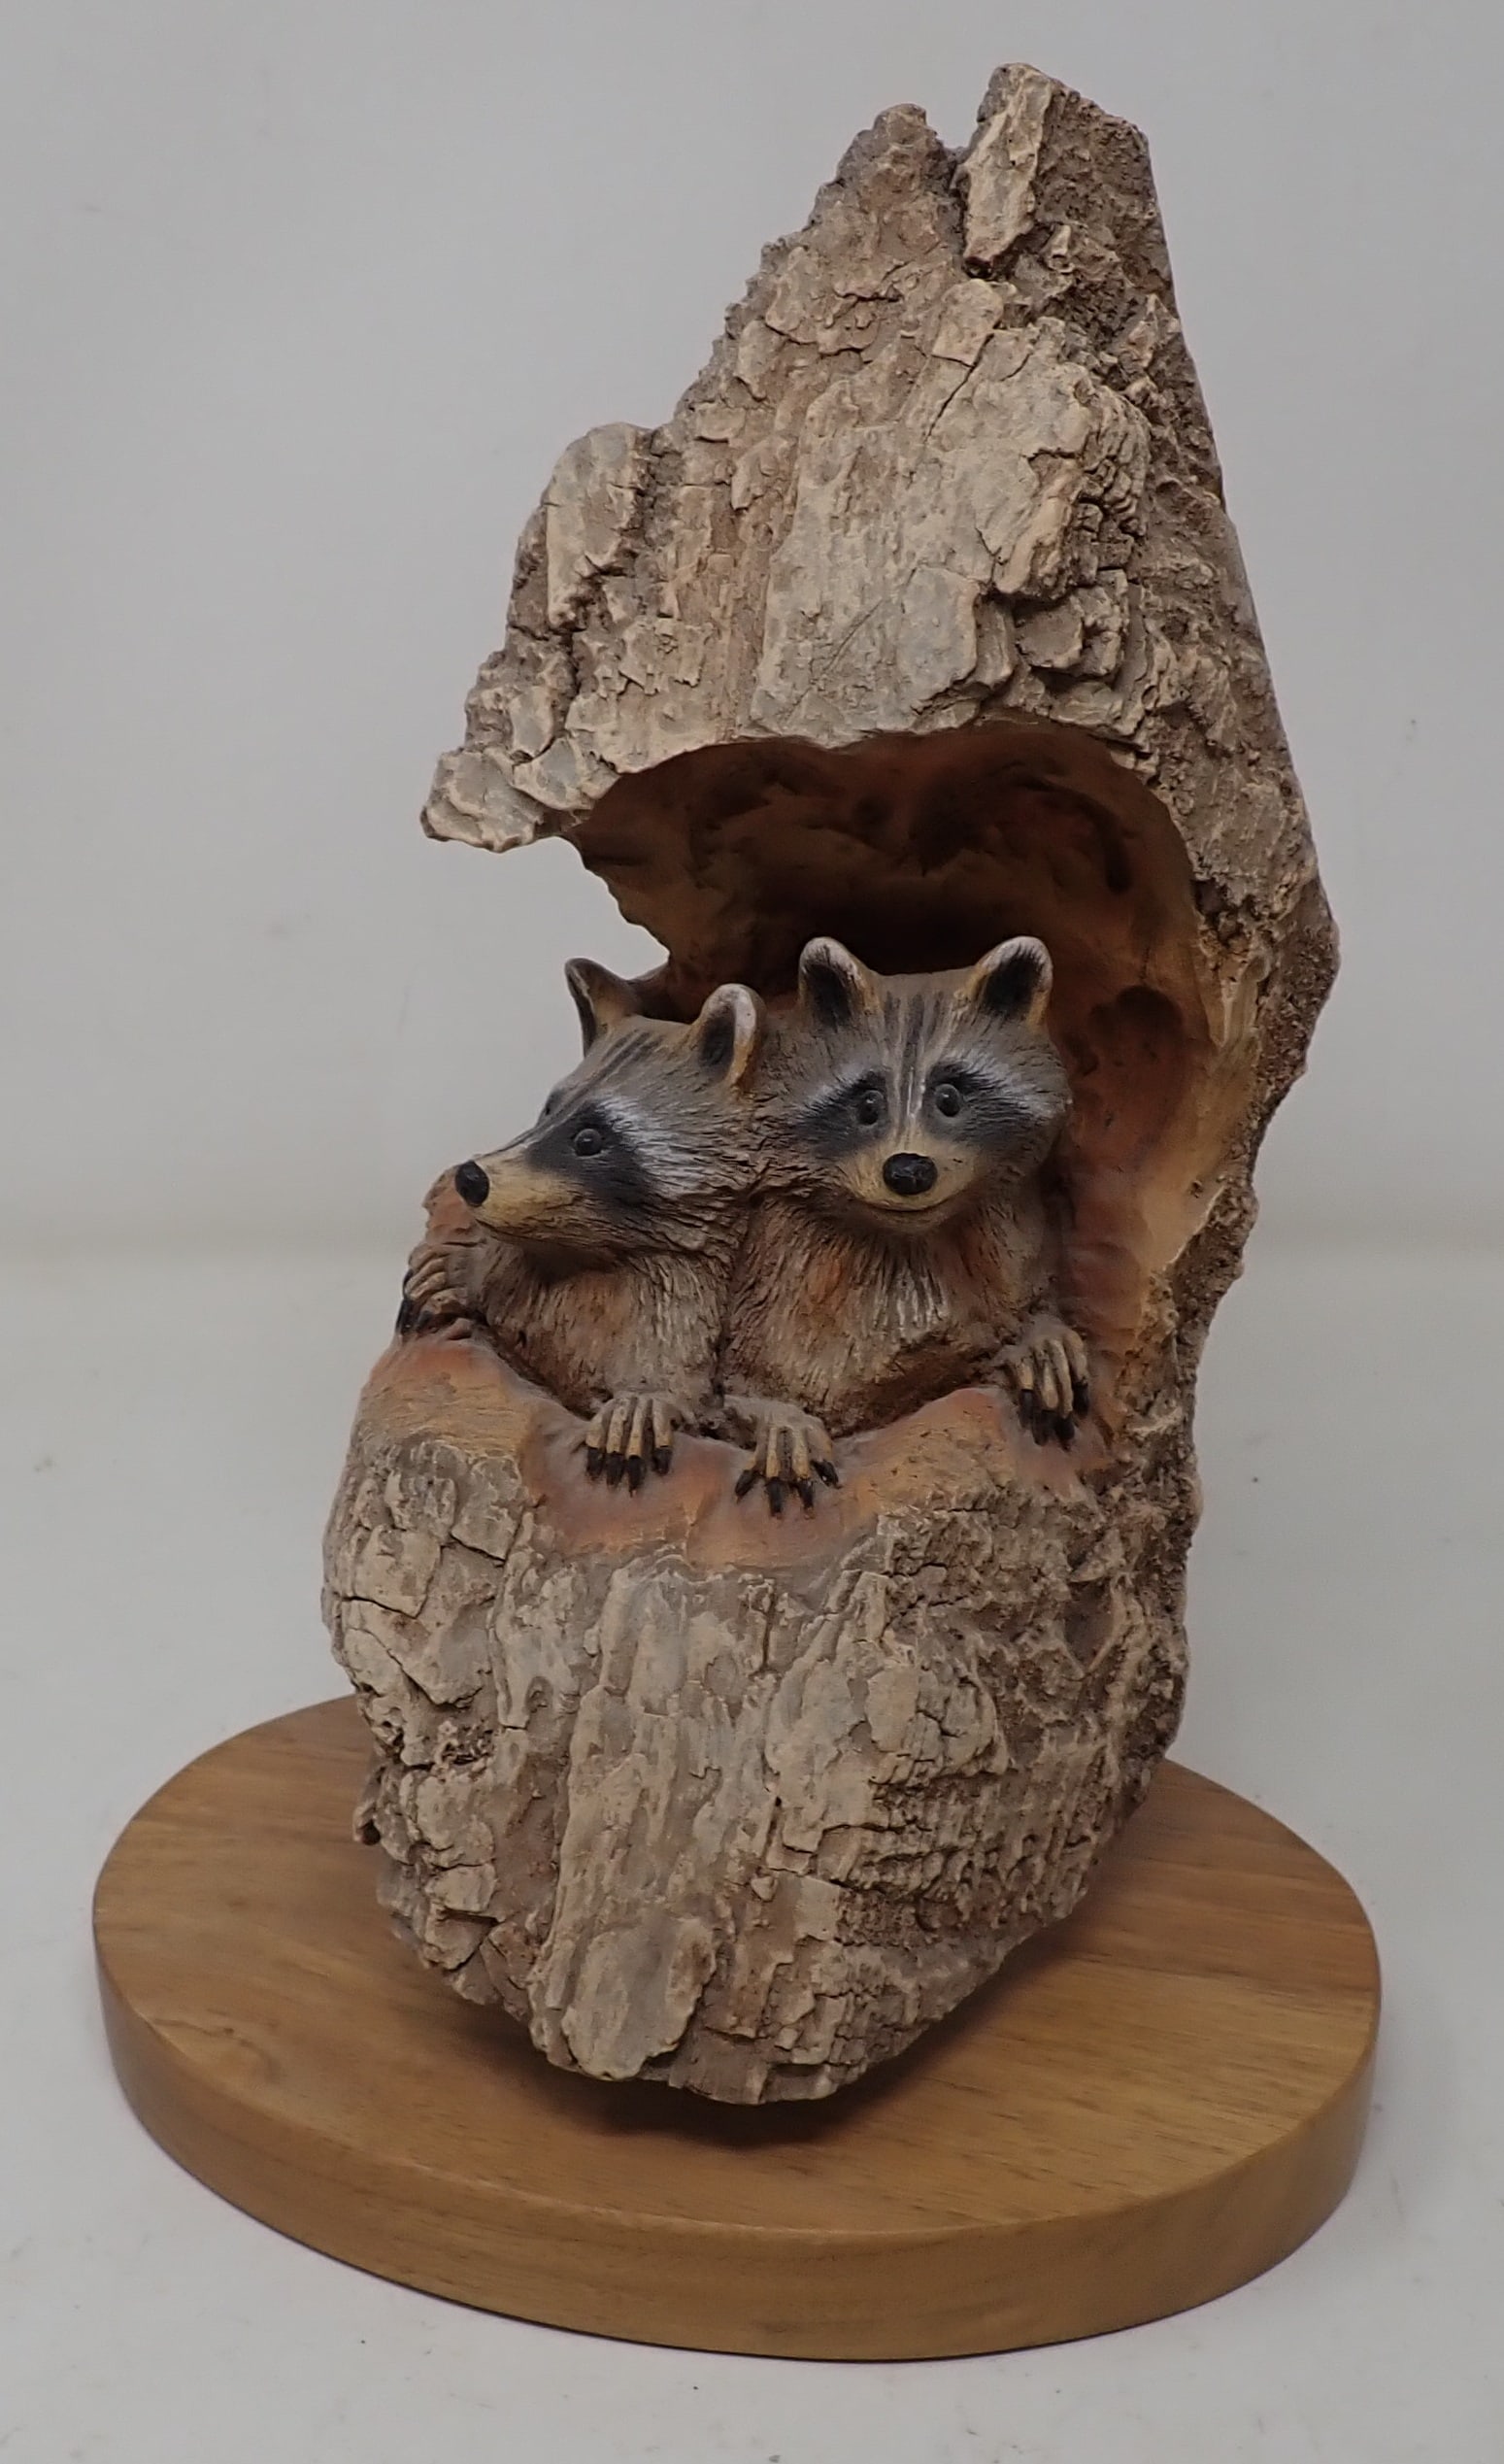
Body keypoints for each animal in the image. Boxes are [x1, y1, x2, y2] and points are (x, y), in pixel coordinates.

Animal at [399, 958, 763, 1490]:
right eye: (549, 1109)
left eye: (590, 1139)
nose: (471, 1177)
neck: (585, 1254)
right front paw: (462, 1270)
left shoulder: (679, 1304)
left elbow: (684, 1387)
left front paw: (648, 1400)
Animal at [720, 934, 1089, 1508]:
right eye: (868, 1103)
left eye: (950, 1097)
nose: (909, 1171)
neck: (906, 1240)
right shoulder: (775, 1269)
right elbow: (735, 1390)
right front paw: (778, 1417)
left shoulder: (1010, 1238)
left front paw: (1037, 1336)